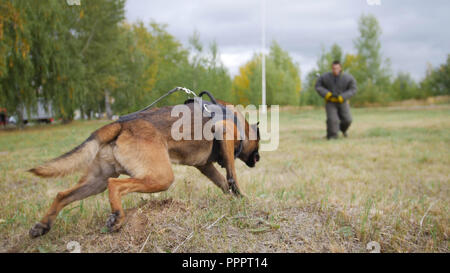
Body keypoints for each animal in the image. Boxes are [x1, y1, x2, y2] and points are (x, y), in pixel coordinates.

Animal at [27, 99, 260, 237]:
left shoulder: (205, 166)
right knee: (115, 185)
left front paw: (235, 198)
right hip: (160, 177)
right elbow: (232, 174)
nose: (258, 159)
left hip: (96, 182)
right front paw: (241, 196)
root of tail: (121, 123)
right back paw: (117, 217)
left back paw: (42, 226)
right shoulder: (225, 136)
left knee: (62, 195)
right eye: (258, 144)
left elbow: (222, 181)